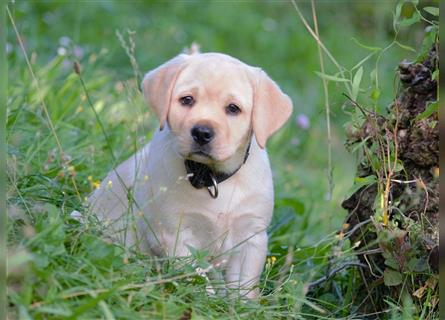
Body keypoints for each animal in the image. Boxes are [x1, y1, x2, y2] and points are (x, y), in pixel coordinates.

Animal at [89, 50, 294, 298]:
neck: (211, 177)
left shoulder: (251, 237)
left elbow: (244, 287)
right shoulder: (175, 234)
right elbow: (197, 277)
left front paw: (240, 305)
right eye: (187, 100)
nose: (202, 132)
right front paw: (207, 299)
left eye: (233, 108)